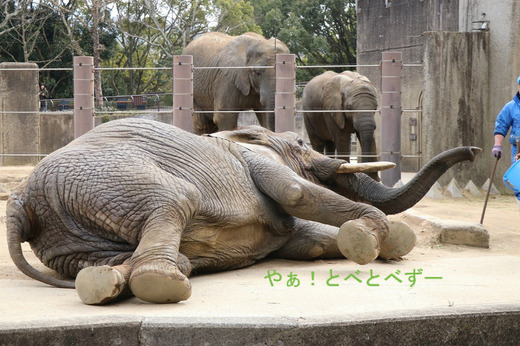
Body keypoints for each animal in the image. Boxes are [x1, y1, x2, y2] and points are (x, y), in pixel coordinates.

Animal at [6, 119, 482, 306]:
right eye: (302, 144)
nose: (475, 149)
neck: (253, 134)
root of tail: (20, 200)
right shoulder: (256, 160)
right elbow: (296, 193)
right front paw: (369, 239)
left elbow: (309, 241)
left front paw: (389, 241)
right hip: (114, 179)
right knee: (172, 202)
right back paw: (161, 284)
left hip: (67, 234)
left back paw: (104, 282)